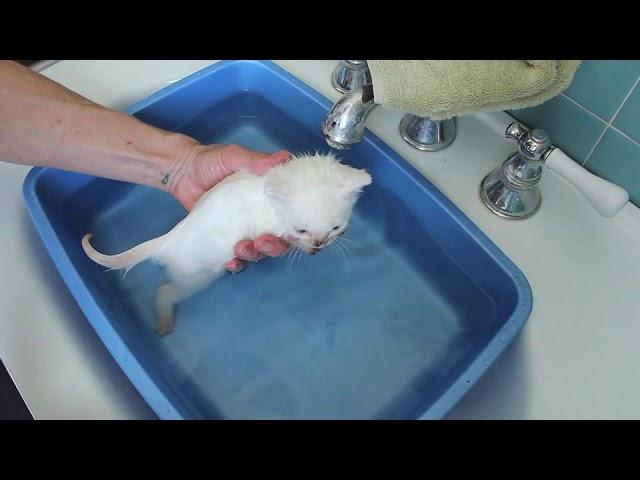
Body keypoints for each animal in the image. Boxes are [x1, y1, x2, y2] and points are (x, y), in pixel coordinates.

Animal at [81, 152, 370, 336]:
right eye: (301, 230)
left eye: (336, 228)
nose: (319, 245)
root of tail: (168, 239)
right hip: (199, 276)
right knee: (164, 291)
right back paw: (164, 321)